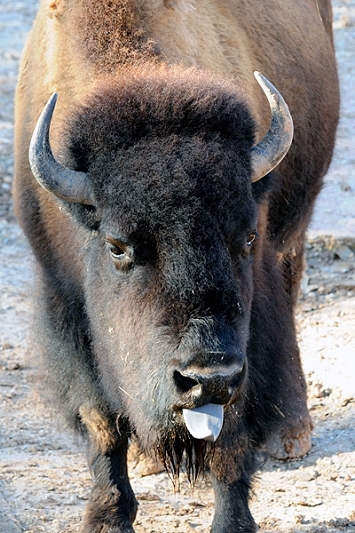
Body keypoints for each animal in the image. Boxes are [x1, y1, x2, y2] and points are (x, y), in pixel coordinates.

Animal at [13, 0, 340, 528]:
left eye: (246, 236)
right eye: (117, 246)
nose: (209, 376)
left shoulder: (243, 336)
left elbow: (230, 435)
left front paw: (233, 524)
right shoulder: (64, 303)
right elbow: (100, 422)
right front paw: (107, 517)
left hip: (294, 227)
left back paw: (291, 433)